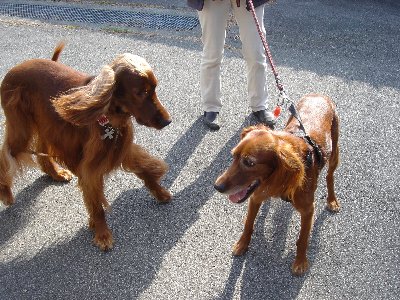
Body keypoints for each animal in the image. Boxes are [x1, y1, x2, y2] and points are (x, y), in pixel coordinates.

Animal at [0, 42, 172, 251]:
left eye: (154, 89)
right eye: (141, 92)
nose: (167, 121)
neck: (109, 115)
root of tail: (13, 70)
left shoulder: (119, 147)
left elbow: (144, 168)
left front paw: (159, 192)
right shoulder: (92, 164)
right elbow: (96, 203)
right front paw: (102, 234)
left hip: (45, 124)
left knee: (42, 147)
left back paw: (56, 173)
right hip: (21, 129)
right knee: (7, 155)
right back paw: (5, 192)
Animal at [214, 93, 340, 274]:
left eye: (249, 163)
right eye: (233, 156)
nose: (217, 187)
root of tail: (319, 94)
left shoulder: (308, 209)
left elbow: (303, 238)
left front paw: (300, 262)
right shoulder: (256, 196)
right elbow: (248, 223)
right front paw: (242, 244)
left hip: (334, 152)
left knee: (330, 177)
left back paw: (332, 200)